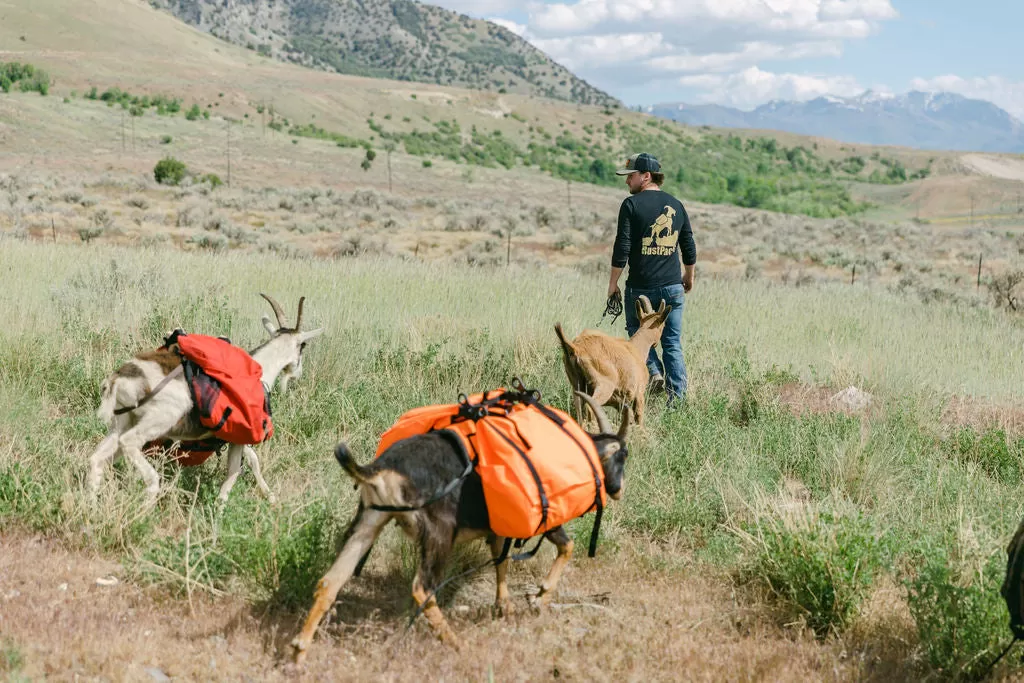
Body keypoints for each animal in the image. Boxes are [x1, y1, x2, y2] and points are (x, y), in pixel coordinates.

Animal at [87, 294, 321, 507]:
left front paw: (268, 496)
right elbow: (236, 473)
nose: (298, 372)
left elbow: (249, 461)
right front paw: (224, 511)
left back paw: (92, 509)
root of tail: (118, 379)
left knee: (97, 458)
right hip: (160, 419)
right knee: (129, 443)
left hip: (122, 421)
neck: (259, 370)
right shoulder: (240, 436)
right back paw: (147, 502)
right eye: (303, 346)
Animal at [284, 393, 626, 663]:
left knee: (330, 581)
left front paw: (504, 606)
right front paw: (540, 596)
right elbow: (566, 546)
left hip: (369, 520)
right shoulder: (547, 514)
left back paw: (299, 650)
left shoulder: (497, 526)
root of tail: (382, 470)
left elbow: (501, 560)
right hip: (438, 533)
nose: (618, 489)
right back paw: (456, 644)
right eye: (622, 456)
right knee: (422, 589)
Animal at [557, 294, 675, 428]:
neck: (636, 349)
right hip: (603, 385)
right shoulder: (639, 395)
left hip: (576, 386)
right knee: (590, 407)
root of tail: (576, 348)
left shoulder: (622, 402)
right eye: (663, 326)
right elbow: (639, 418)